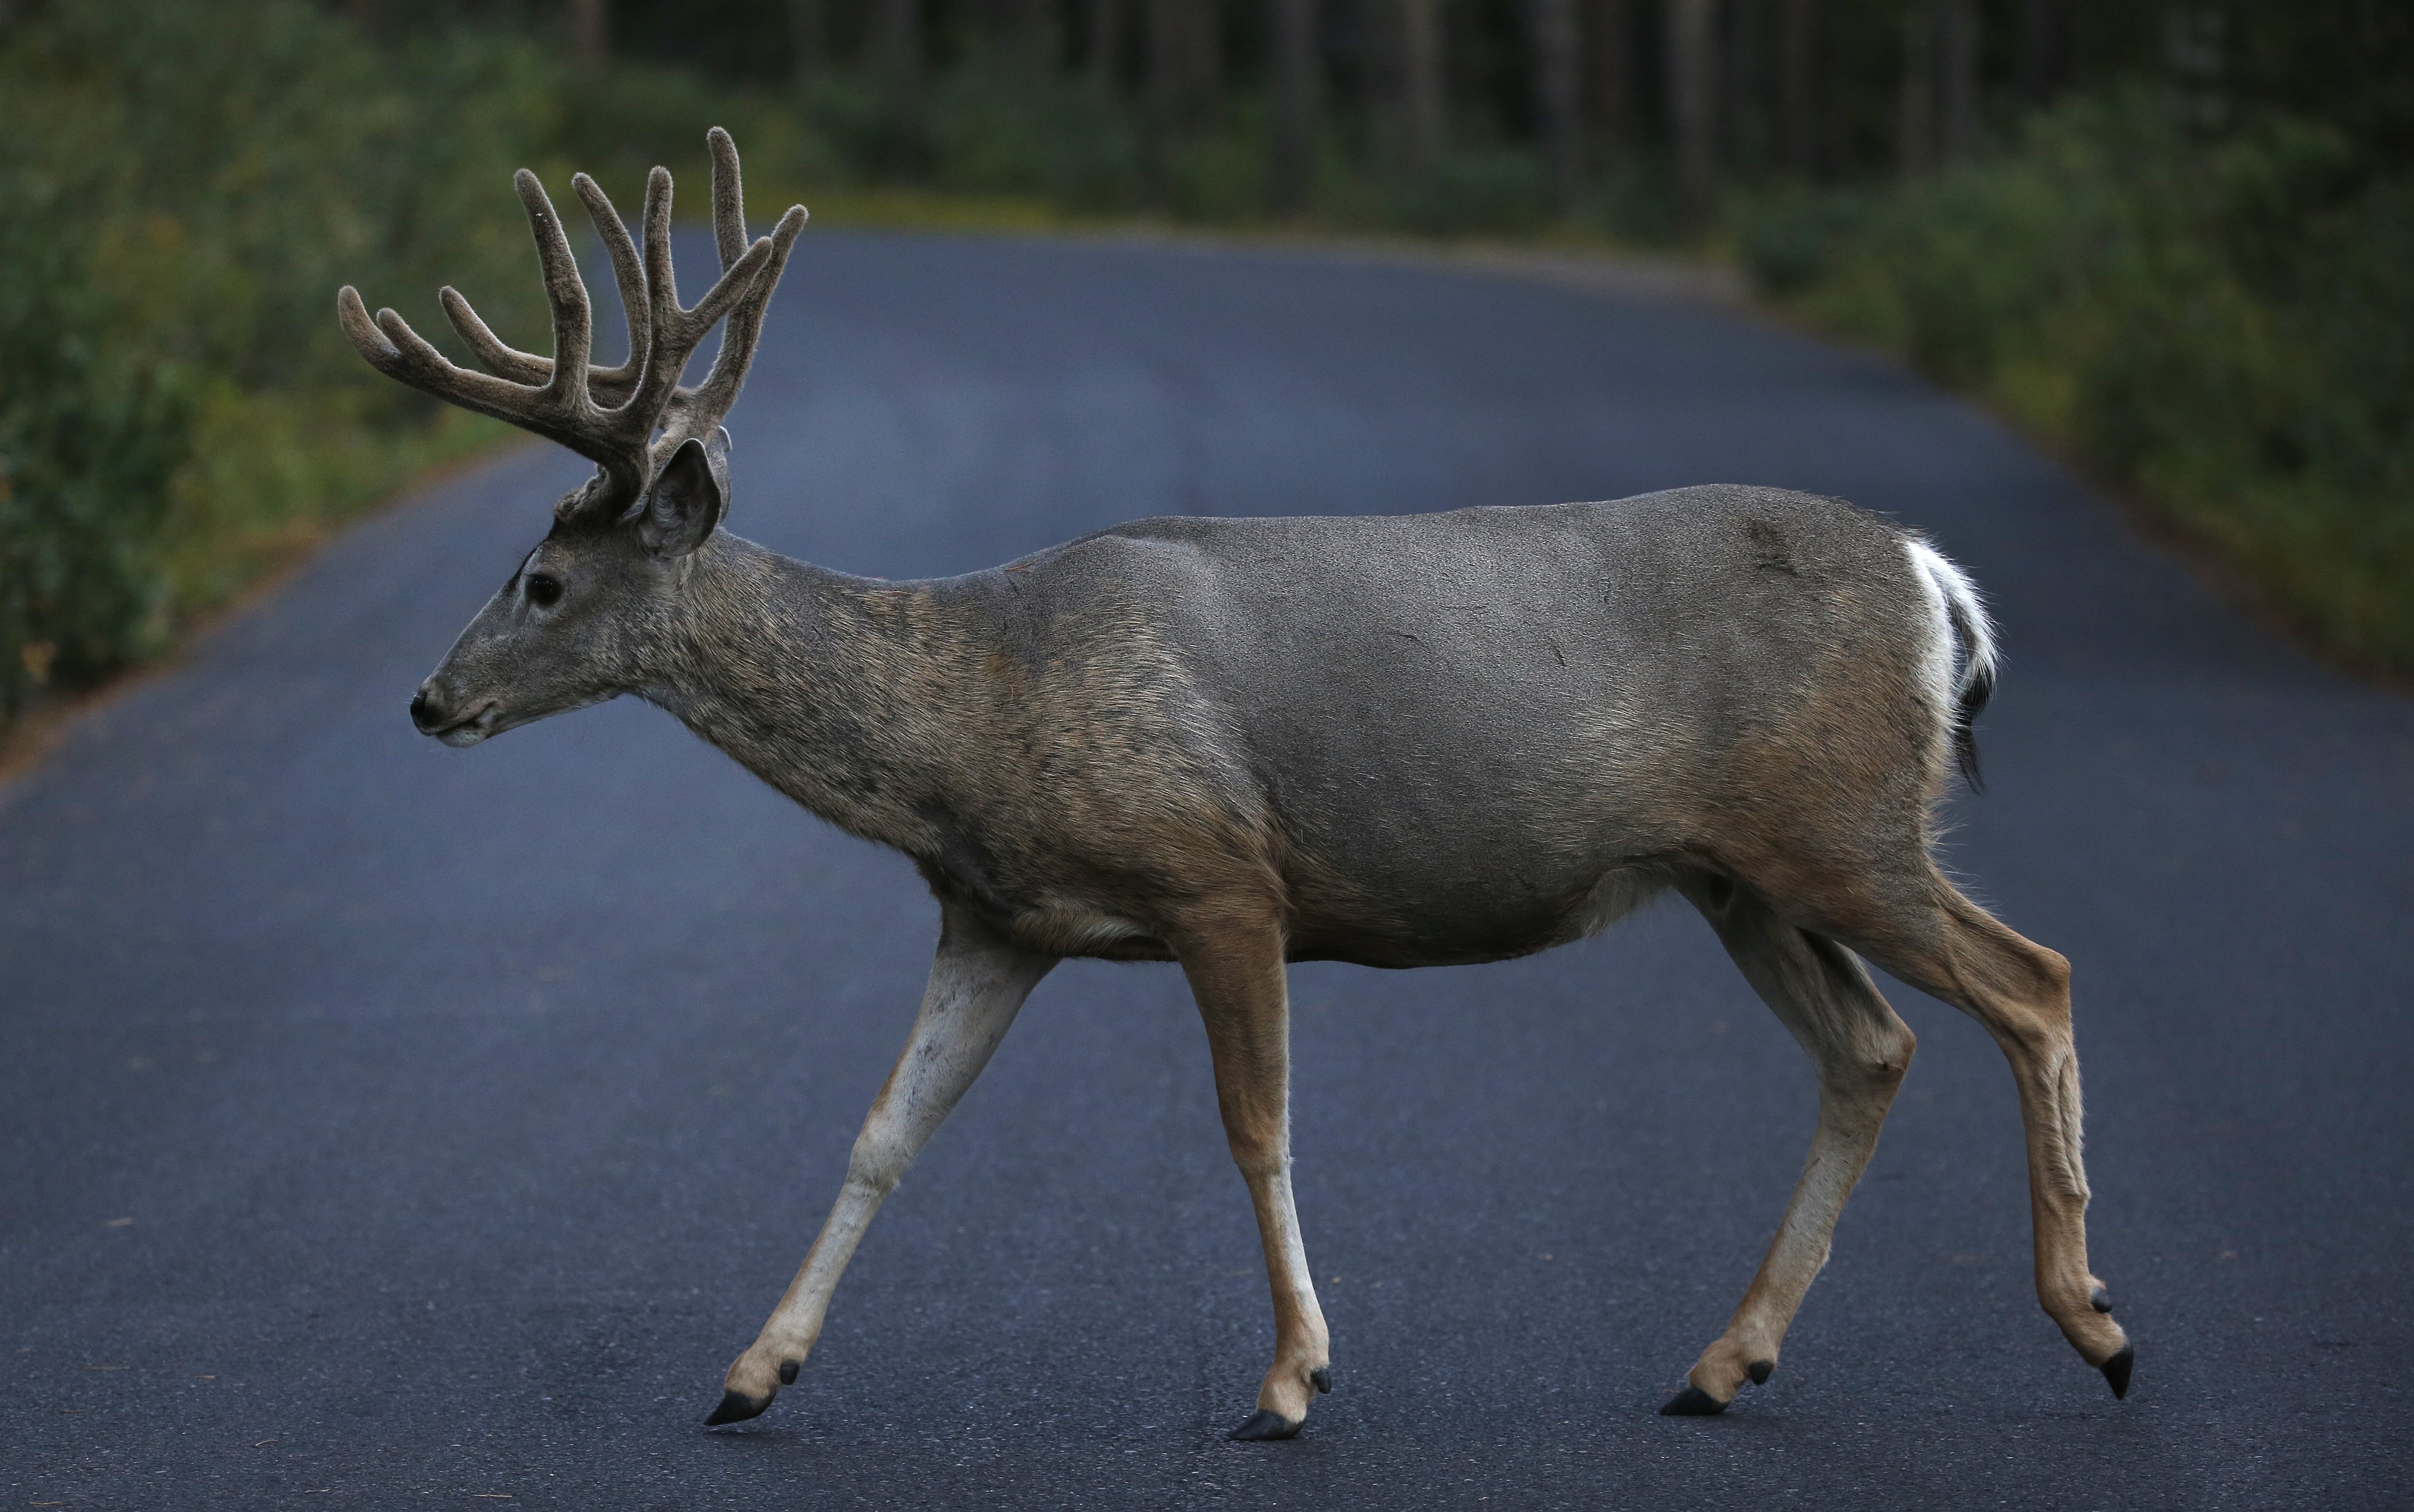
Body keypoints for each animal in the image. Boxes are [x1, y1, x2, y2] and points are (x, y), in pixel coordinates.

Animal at [339, 129, 2133, 1441]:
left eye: (543, 583)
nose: (428, 701)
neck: (970, 715)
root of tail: (1934, 584)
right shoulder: (997, 917)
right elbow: (882, 1129)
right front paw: (751, 1372)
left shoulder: (1220, 877)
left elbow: (1253, 1124)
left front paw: (1289, 1380)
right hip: (1735, 872)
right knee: (1875, 1046)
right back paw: (1722, 1360)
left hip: (1839, 824)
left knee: (2031, 978)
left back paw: (2094, 1323)